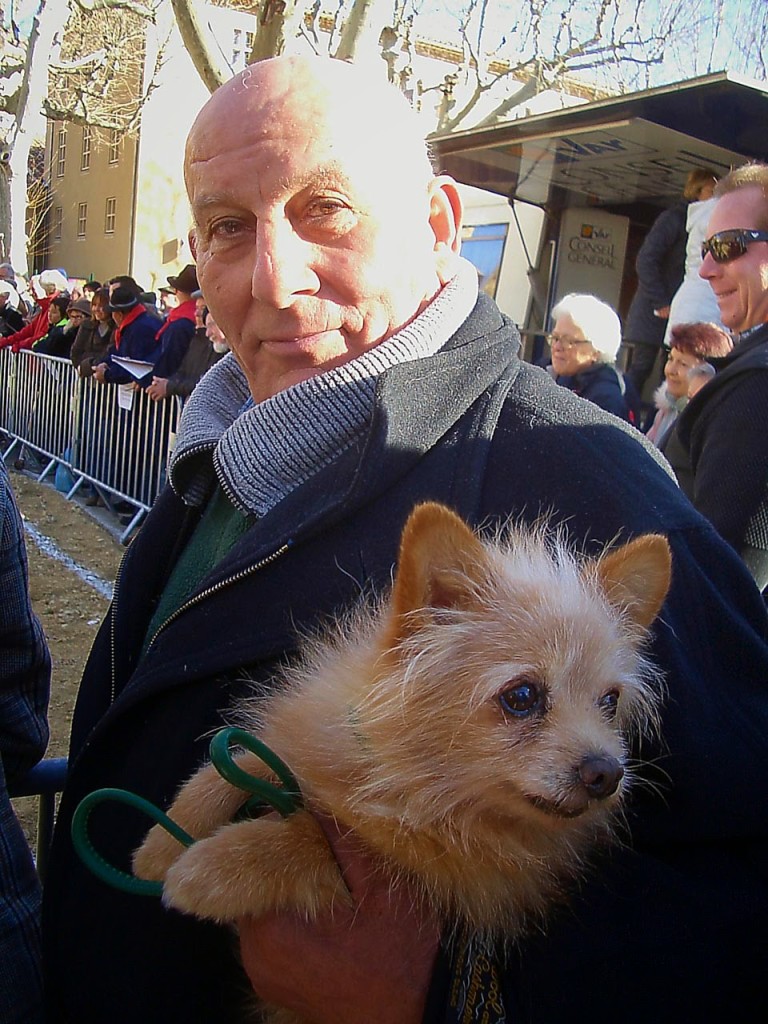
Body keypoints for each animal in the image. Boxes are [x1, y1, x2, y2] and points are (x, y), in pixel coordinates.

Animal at [135, 499, 671, 1019]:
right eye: (522, 696)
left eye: (609, 702)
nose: (607, 773)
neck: (409, 782)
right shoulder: (305, 744)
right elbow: (239, 762)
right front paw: (162, 843)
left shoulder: (385, 879)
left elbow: (311, 839)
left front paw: (215, 866)